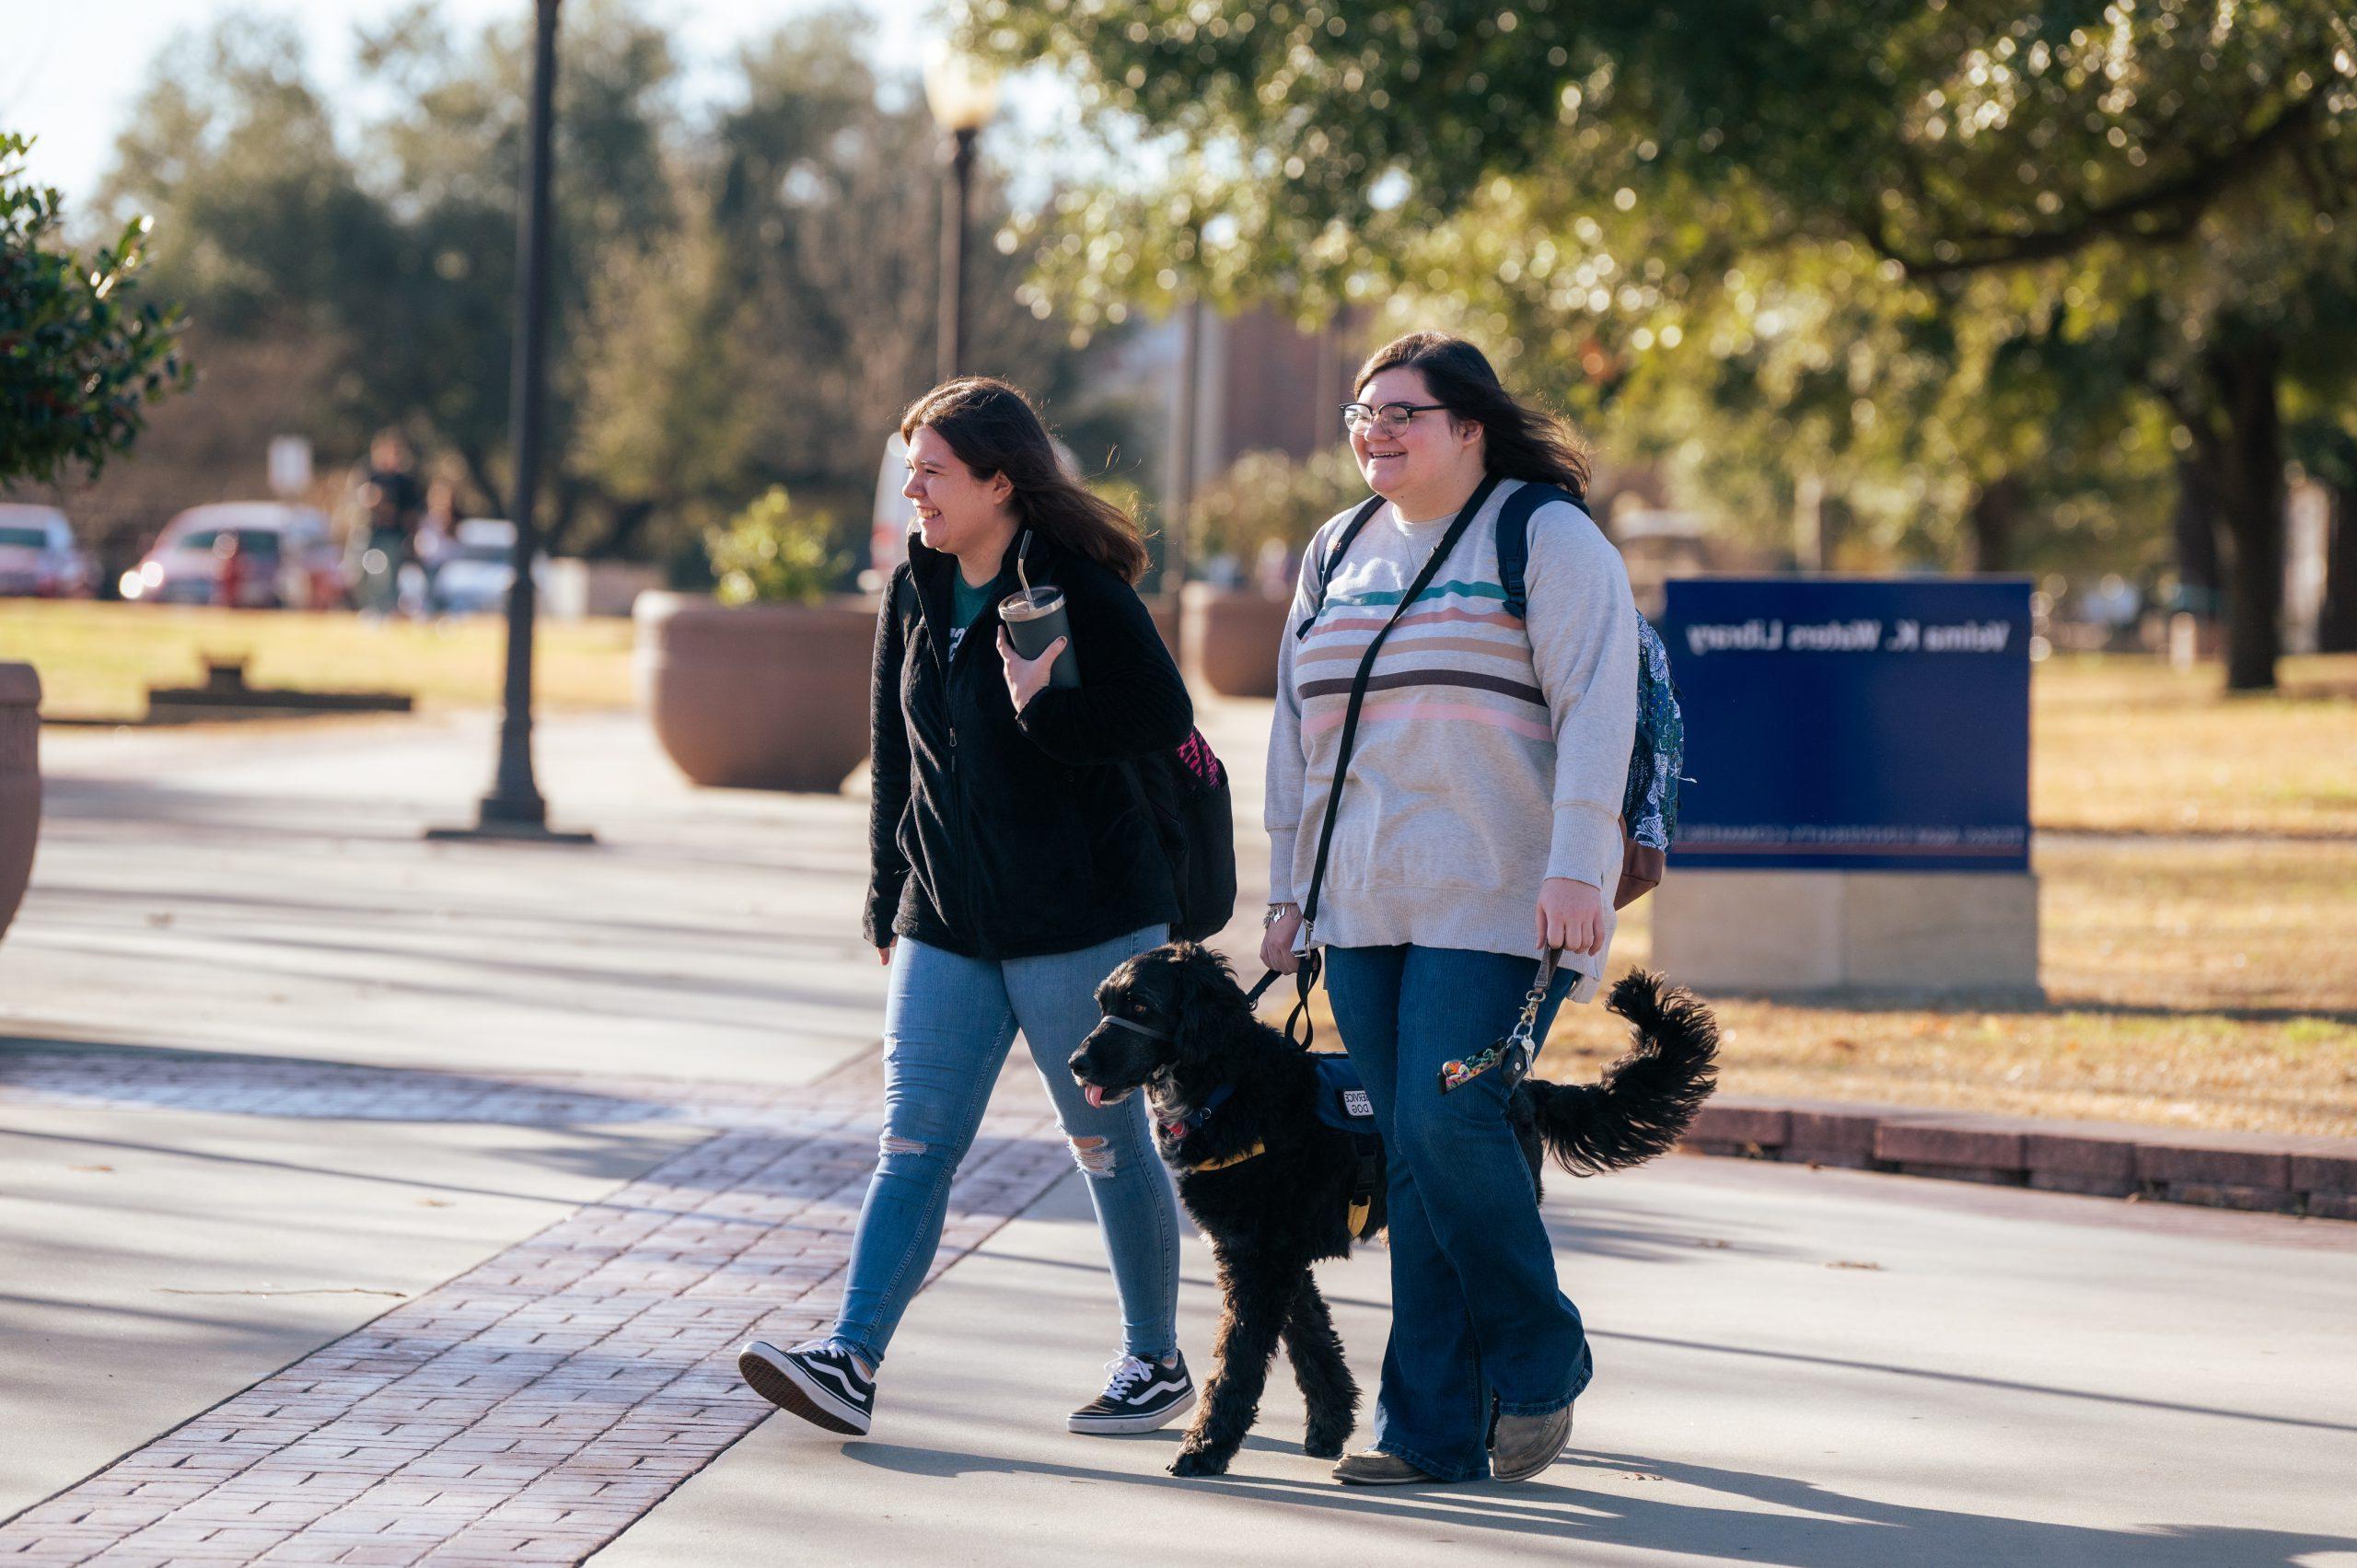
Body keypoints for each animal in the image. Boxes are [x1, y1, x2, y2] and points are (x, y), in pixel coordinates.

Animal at [1070, 943, 1715, 1481]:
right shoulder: (1271, 1256)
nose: (1076, 1062)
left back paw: (1503, 1430)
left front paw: (1205, 1448)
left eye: (1141, 1004)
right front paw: (1330, 1425)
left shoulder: (1259, 1262)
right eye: (1101, 1004)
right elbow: (1313, 1342)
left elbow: (1239, 1360)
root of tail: (1522, 1089)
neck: (1231, 1086)